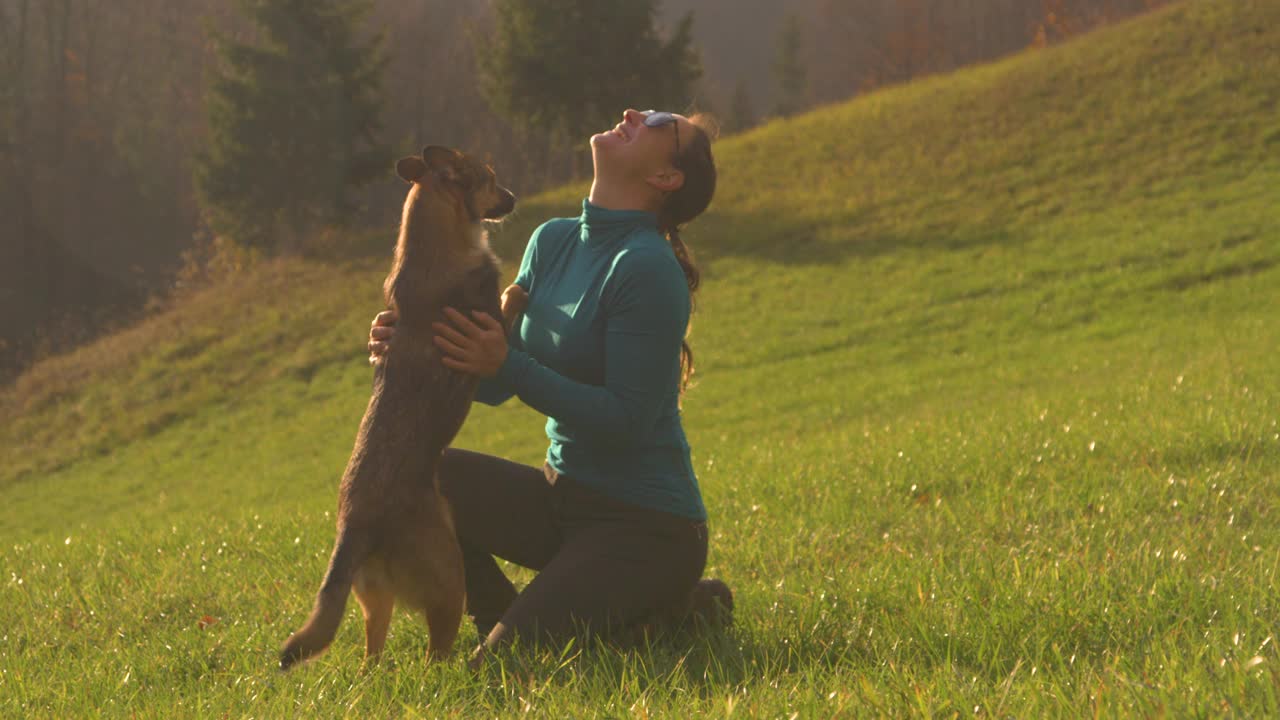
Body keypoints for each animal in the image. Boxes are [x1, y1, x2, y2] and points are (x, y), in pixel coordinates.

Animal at [281, 144, 519, 666]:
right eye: (490, 179)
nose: (513, 198)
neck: (433, 243)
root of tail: (355, 526)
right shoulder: (490, 328)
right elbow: (511, 299)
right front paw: (520, 288)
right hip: (449, 580)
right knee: (436, 655)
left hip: (375, 600)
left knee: (370, 660)